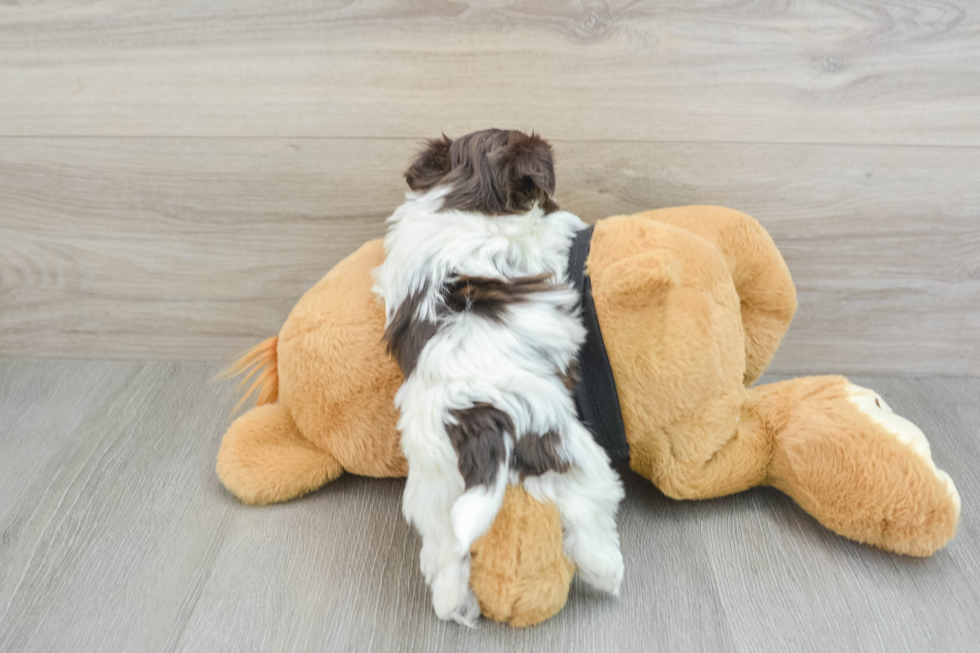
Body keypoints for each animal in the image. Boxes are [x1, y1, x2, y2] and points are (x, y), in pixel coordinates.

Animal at [372, 130, 624, 624]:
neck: (467, 192)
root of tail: (475, 418)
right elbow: (555, 226)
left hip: (436, 486)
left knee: (446, 551)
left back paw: (456, 603)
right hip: (567, 446)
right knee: (588, 508)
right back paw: (606, 569)